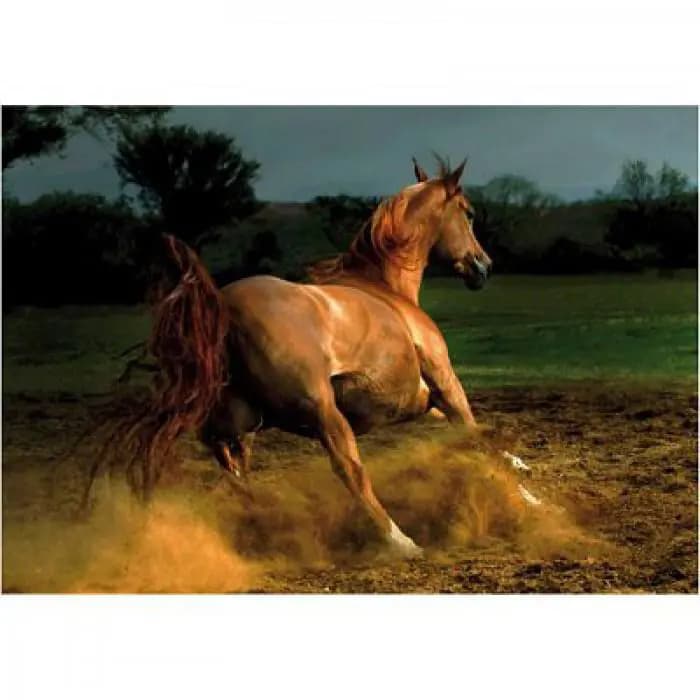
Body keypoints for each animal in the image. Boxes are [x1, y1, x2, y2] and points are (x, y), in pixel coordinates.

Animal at [130, 156, 524, 558]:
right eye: (469, 212)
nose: (484, 266)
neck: (387, 290)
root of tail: (223, 307)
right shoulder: (444, 381)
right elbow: (476, 433)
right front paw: (527, 495)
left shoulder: (422, 398)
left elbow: (471, 433)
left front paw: (518, 464)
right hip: (321, 412)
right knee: (349, 470)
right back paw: (402, 543)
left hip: (242, 420)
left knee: (230, 468)